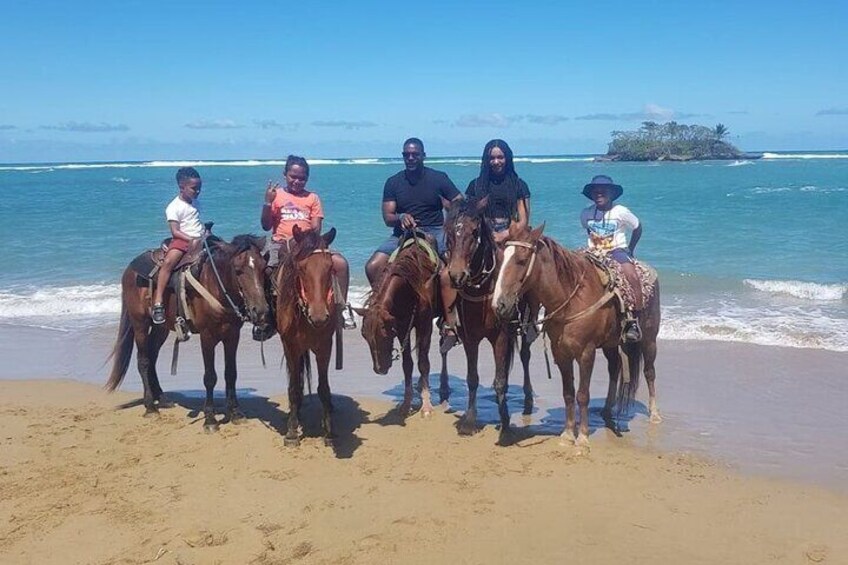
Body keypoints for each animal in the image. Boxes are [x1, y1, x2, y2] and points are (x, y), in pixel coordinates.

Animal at [106, 231, 270, 430]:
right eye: (238, 269)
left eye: (263, 268)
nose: (260, 311)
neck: (214, 284)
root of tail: (130, 269)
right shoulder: (207, 336)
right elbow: (210, 377)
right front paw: (210, 419)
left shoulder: (232, 335)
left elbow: (231, 373)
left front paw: (236, 413)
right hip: (140, 324)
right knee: (143, 361)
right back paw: (150, 407)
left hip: (161, 328)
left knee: (152, 356)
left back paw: (161, 398)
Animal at [272, 225, 338, 446]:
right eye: (301, 268)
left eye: (330, 267)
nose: (319, 316)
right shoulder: (290, 347)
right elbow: (293, 388)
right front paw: (292, 433)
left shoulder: (325, 346)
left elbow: (324, 388)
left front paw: (329, 432)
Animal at [356, 230, 450, 418]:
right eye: (364, 336)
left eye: (385, 334)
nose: (380, 369)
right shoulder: (402, 327)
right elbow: (408, 364)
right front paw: (406, 404)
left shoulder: (425, 325)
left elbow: (423, 362)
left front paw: (426, 407)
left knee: (443, 348)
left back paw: (444, 386)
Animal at [440, 198, 532, 440]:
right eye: (448, 231)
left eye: (474, 231)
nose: (457, 275)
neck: (482, 287)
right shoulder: (470, 337)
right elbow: (472, 378)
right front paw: (470, 421)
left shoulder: (500, 336)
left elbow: (500, 381)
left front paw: (506, 424)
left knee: (525, 356)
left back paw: (527, 399)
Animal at [490, 223, 664, 448]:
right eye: (501, 259)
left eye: (521, 259)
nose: (499, 304)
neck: (571, 298)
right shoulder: (561, 353)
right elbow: (568, 393)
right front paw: (567, 433)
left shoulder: (586, 353)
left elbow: (582, 394)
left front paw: (582, 437)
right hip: (610, 344)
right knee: (615, 368)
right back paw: (607, 409)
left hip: (649, 339)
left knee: (649, 372)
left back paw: (654, 414)